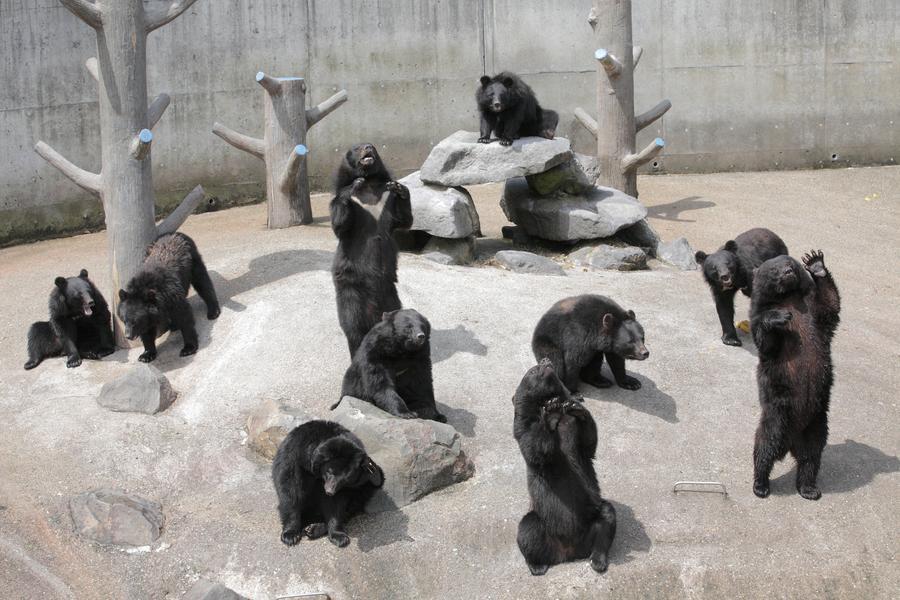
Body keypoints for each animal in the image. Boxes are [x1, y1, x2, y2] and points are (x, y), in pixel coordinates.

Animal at [117, 232, 221, 364]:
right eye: (124, 320)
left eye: (135, 321)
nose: (128, 336)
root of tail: (174, 233)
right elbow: (147, 332)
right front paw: (146, 355)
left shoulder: (172, 295)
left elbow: (184, 316)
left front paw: (188, 348)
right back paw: (174, 325)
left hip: (193, 261)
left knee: (202, 281)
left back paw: (213, 311)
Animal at [330, 142, 414, 356]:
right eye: (357, 148)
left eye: (373, 146)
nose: (368, 147)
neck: (369, 182)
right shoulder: (347, 202)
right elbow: (340, 225)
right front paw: (353, 185)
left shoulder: (386, 198)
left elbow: (404, 220)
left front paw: (400, 188)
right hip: (350, 289)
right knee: (352, 324)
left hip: (391, 294)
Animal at [516, 358, 616, 576]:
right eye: (532, 370)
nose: (545, 360)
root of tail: (568, 553)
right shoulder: (524, 426)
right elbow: (536, 449)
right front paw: (551, 413)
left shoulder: (574, 431)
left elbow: (588, 443)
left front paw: (577, 408)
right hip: (542, 519)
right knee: (527, 529)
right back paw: (536, 565)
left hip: (590, 515)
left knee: (606, 518)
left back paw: (598, 559)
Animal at [748, 251, 840, 500]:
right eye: (774, 269)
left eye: (789, 263)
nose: (788, 271)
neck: (788, 298)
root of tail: (791, 441)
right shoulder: (759, 315)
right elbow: (766, 342)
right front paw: (778, 317)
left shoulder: (813, 312)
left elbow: (830, 305)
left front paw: (816, 263)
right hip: (779, 413)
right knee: (765, 444)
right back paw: (761, 484)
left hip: (817, 422)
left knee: (811, 457)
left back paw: (809, 489)